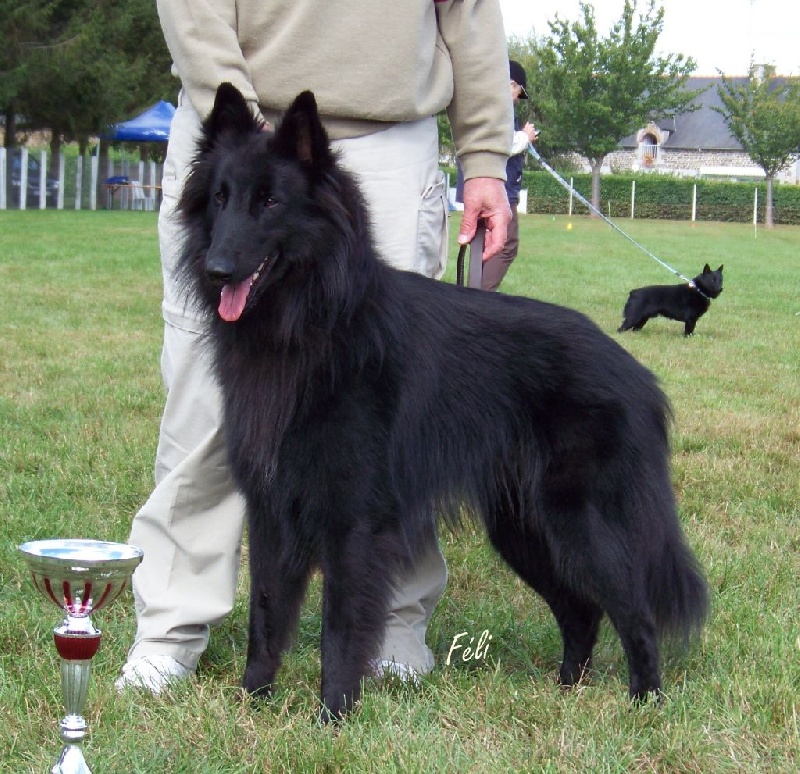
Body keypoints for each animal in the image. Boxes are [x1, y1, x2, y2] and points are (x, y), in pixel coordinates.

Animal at [177, 83, 708, 720]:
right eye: (220, 198)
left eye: (271, 201)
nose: (216, 268)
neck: (313, 323)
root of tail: (636, 374)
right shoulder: (272, 510)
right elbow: (266, 614)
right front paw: (254, 701)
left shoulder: (353, 521)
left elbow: (339, 629)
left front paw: (333, 715)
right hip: (523, 530)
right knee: (581, 609)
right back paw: (566, 690)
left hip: (578, 523)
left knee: (634, 611)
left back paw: (645, 702)